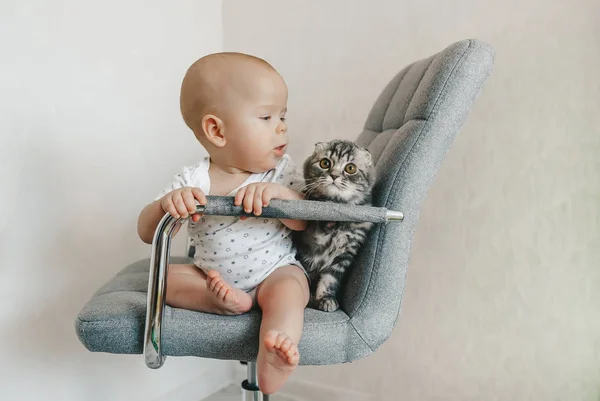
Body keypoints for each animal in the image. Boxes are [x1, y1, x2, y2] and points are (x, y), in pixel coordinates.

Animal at [292, 139, 376, 310]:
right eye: (325, 163)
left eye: (350, 168)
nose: (334, 175)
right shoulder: (314, 239)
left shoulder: (346, 253)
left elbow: (330, 279)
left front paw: (326, 298)